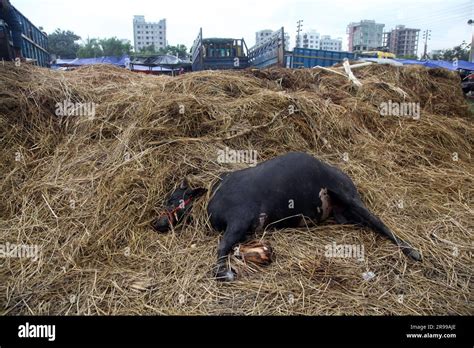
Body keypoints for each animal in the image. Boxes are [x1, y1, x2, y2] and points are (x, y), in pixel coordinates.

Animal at [153, 151, 422, 282]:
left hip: (347, 195)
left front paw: (226, 273)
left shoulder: (240, 219)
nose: (157, 223)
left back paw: (412, 251)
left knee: (379, 222)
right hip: (345, 213)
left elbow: (221, 250)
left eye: (171, 199)